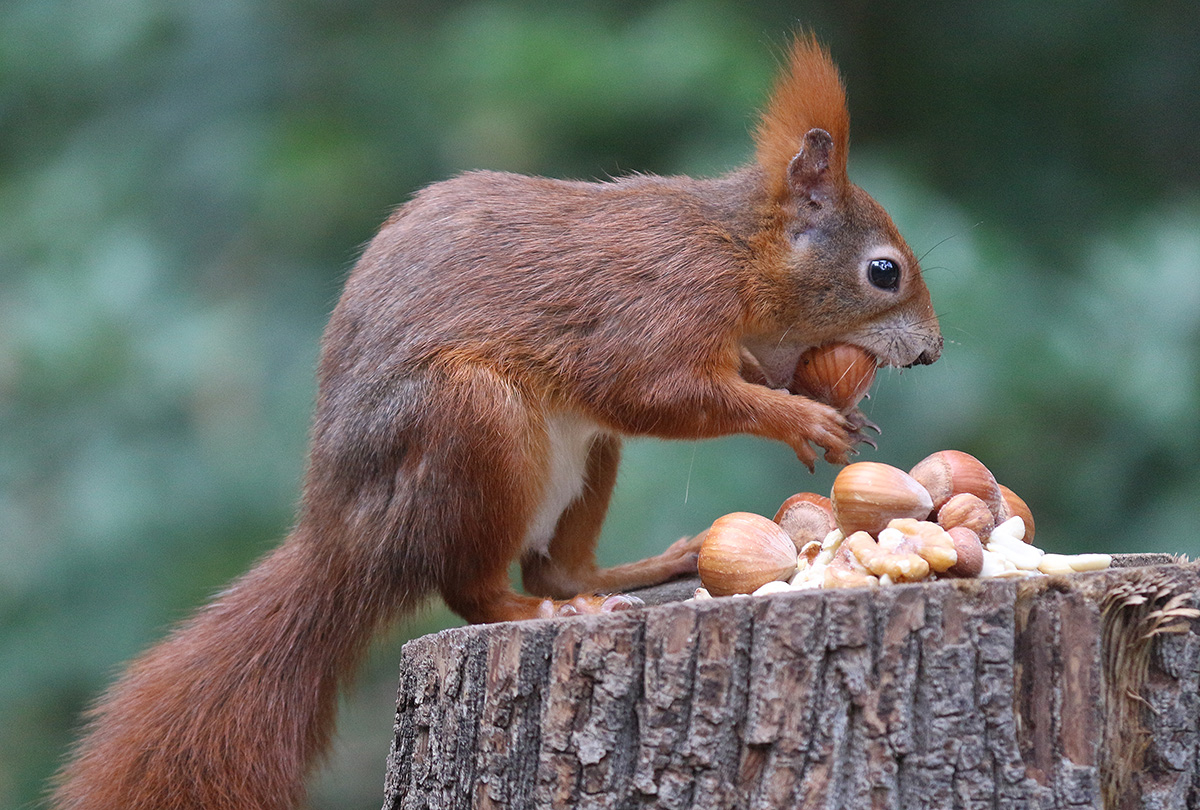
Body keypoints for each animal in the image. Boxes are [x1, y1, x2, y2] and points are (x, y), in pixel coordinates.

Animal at [54, 34, 936, 810]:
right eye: (883, 272)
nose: (929, 352)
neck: (734, 250)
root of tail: (344, 544)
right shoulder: (656, 308)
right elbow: (657, 392)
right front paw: (800, 418)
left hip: (584, 456)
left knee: (554, 566)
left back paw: (637, 573)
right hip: (474, 426)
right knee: (474, 590)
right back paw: (543, 615)